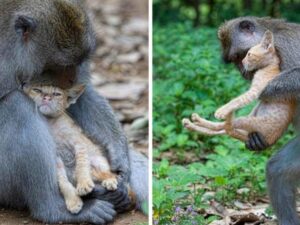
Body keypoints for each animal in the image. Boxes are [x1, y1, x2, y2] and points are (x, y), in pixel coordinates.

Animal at [0, 0, 148, 223]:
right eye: (61, 65)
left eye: (79, 62)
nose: (72, 78)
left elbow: (81, 97)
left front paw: (120, 156)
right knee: (17, 105)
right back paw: (54, 209)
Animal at [217, 17, 300, 225]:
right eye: (234, 61)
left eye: (241, 55)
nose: (242, 71)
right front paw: (256, 139)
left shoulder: (289, 48)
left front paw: (265, 89)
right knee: (277, 170)